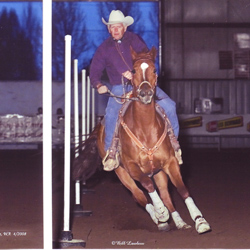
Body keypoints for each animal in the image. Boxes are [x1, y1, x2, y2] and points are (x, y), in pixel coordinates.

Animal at [73, 47, 211, 234]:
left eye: (154, 70)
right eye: (133, 70)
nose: (145, 93)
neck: (145, 130)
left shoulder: (170, 163)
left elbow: (182, 190)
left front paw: (199, 220)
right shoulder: (132, 167)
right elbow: (147, 185)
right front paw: (160, 212)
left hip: (159, 172)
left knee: (166, 195)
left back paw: (179, 222)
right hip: (122, 174)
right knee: (138, 195)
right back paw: (159, 218)